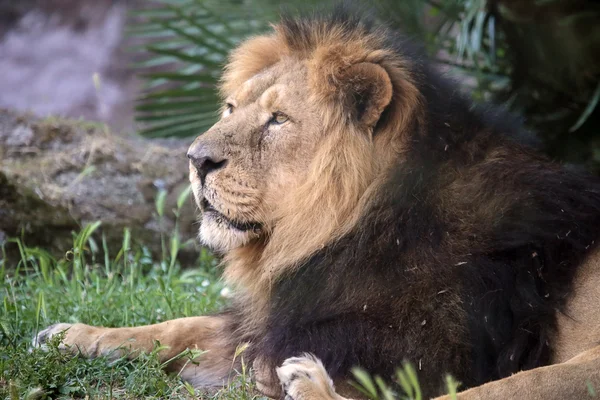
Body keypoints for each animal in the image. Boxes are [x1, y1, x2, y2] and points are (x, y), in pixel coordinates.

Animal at [34, 6, 600, 400]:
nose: (195, 159)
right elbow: (180, 326)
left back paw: (307, 383)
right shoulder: (283, 319)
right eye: (230, 108)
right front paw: (69, 335)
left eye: (278, 120)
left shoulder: (416, 351)